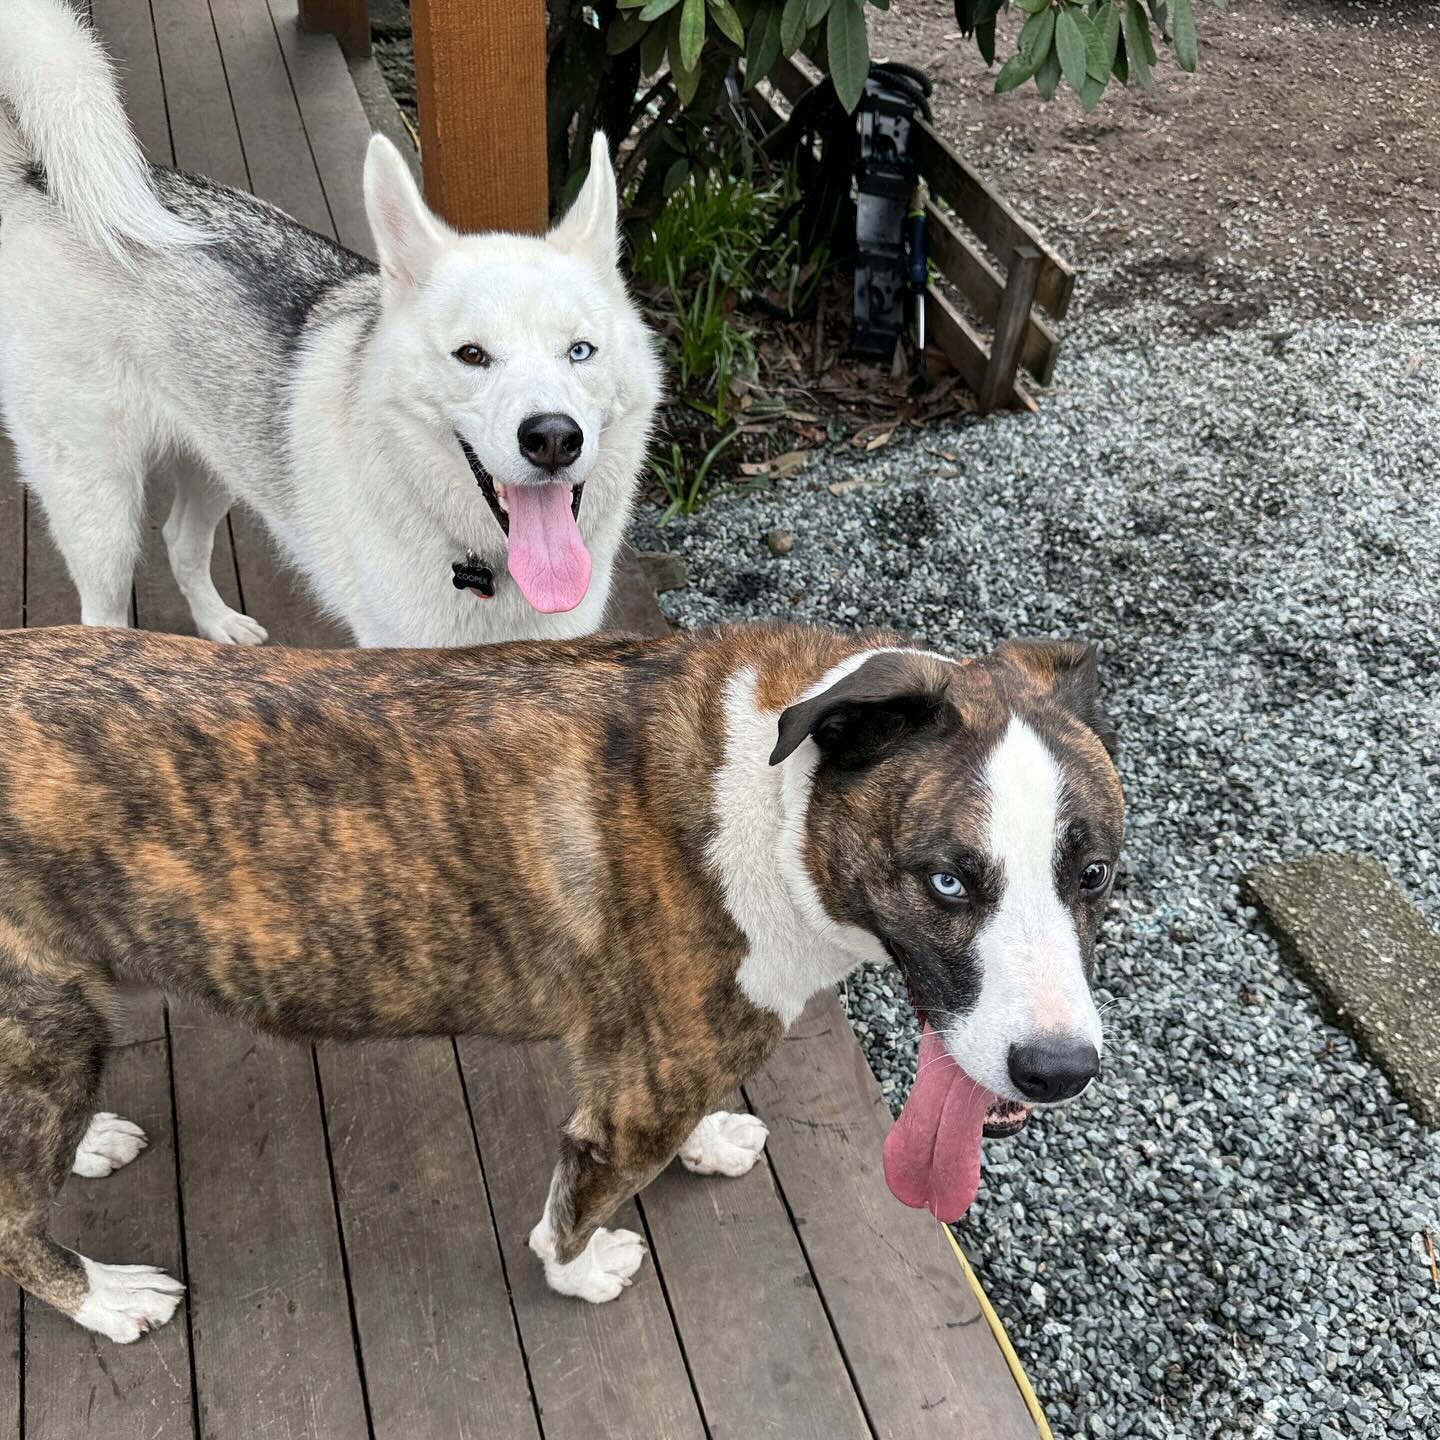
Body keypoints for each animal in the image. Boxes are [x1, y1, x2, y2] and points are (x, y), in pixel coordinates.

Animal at [0, 0, 659, 645]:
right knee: (102, 614)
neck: (489, 567)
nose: (553, 439)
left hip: (221, 461)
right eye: (471, 354)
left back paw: (220, 625)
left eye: (580, 351)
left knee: (180, 541)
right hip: (100, 509)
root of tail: (34, 175)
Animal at [0, 624, 1117, 1342]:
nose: (1059, 1071)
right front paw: (580, 1273)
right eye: (946, 880)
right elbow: (573, 1207)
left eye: (1096, 875)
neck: (776, 795)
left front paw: (712, 1141)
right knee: (11, 1224)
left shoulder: (652, 1062)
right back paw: (105, 1299)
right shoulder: (631, 1107)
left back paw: (90, 1141)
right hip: (45, 1027)